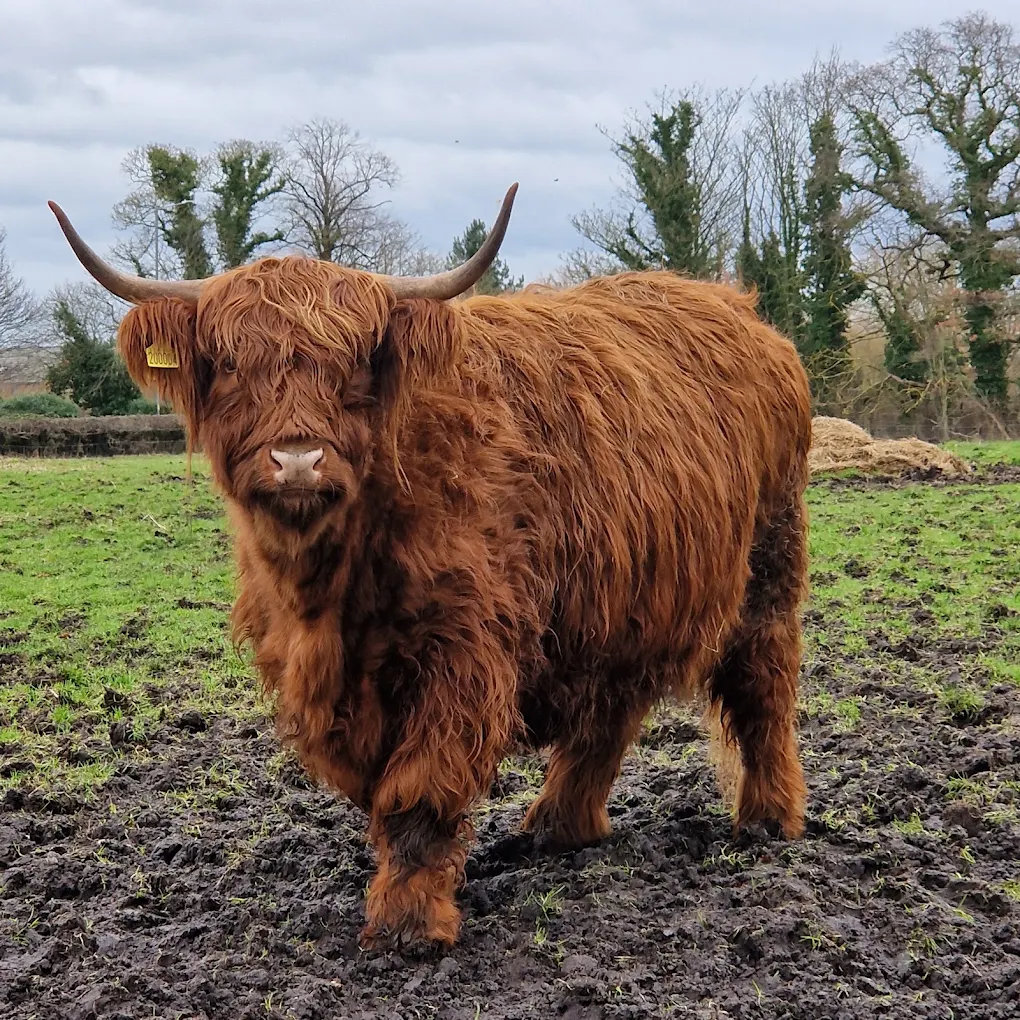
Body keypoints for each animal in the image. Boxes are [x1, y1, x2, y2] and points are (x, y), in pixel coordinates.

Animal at [48, 185, 812, 951]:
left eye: (355, 364)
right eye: (231, 364)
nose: (298, 460)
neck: (329, 589)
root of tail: (743, 313)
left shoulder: (463, 647)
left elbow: (418, 790)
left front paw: (408, 923)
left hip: (769, 562)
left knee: (762, 684)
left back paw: (768, 819)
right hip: (620, 593)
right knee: (611, 708)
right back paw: (559, 826)